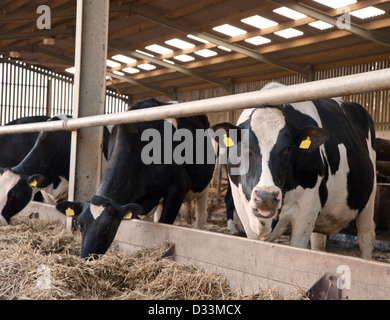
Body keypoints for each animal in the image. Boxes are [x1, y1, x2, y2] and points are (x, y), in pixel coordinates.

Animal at [56, 99, 215, 258]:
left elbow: (166, 223)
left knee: (201, 215)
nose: (86, 257)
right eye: (79, 224)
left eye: (108, 227)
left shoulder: (179, 187)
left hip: (204, 186)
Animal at [212, 83, 376, 260]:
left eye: (288, 147)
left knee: (366, 238)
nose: (266, 196)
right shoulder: (242, 205)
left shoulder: (307, 207)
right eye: (244, 146)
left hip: (369, 200)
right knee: (318, 241)